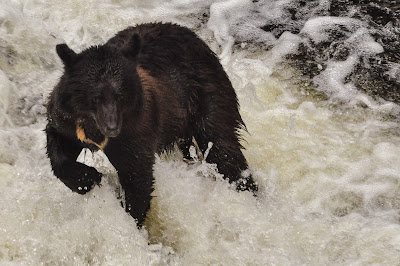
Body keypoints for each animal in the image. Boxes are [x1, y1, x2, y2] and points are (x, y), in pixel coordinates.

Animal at [45, 22, 258, 227]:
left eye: (120, 95)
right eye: (95, 97)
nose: (112, 127)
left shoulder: (136, 131)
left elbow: (137, 176)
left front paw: (129, 220)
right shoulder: (67, 121)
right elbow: (58, 145)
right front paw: (87, 178)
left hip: (206, 94)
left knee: (222, 147)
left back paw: (247, 193)